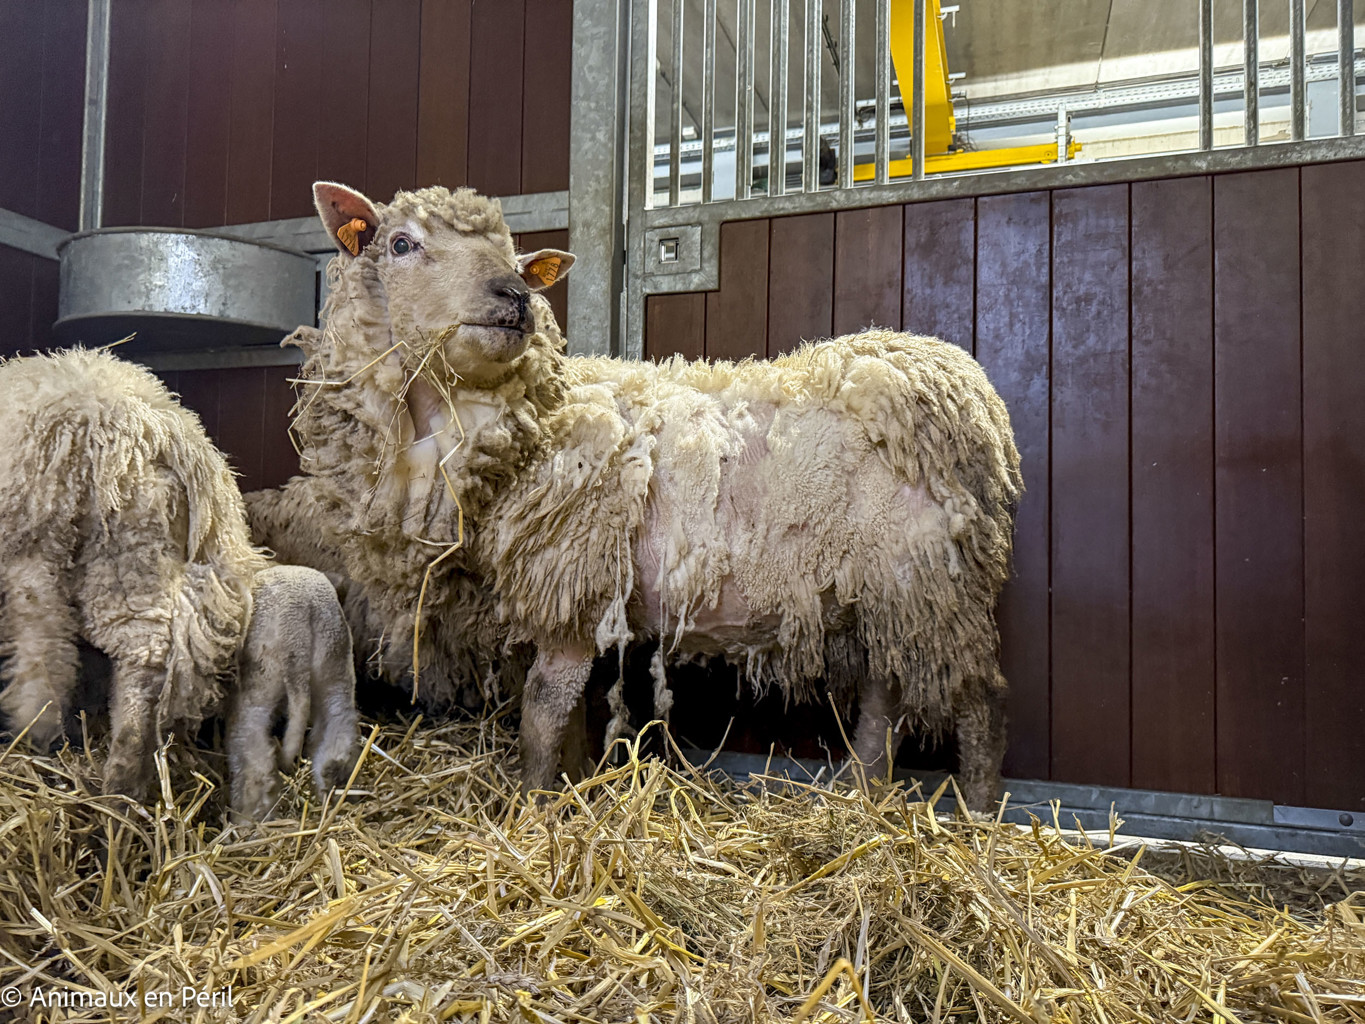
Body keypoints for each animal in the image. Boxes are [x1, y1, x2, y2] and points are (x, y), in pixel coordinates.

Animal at [228, 565, 361, 819]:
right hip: (335, 666)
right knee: (338, 729)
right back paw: (333, 785)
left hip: (261, 678)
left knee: (253, 750)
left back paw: (247, 818)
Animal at [289, 181, 1022, 810]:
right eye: (400, 243)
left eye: (519, 262)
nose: (513, 297)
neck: (530, 421)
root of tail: (961, 385)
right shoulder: (560, 601)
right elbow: (571, 718)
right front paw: (574, 787)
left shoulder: (572, 573)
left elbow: (541, 712)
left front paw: (532, 808)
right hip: (886, 594)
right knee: (883, 699)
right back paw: (862, 796)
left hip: (935, 584)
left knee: (982, 705)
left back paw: (980, 816)